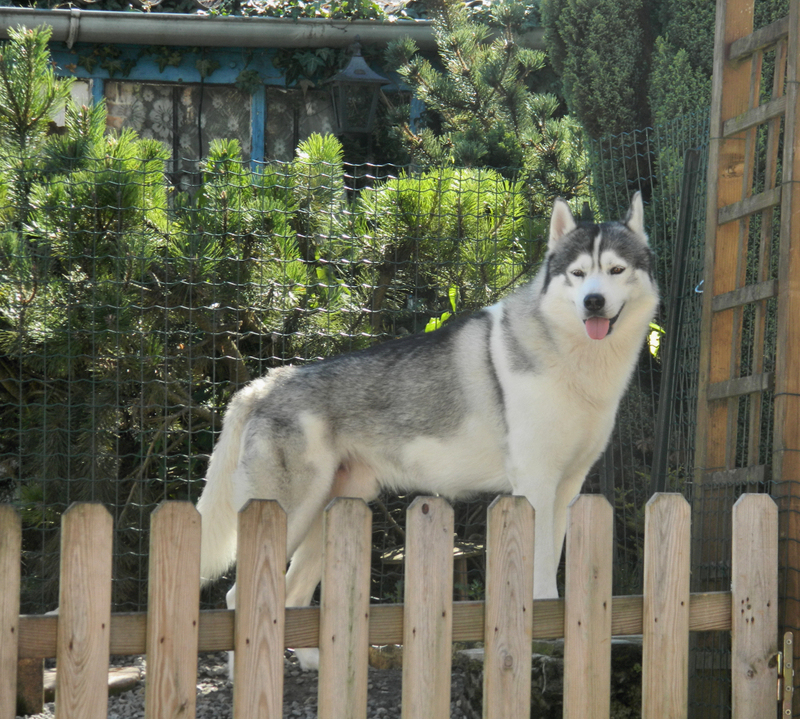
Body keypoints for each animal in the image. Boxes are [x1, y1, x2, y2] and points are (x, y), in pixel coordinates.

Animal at [198, 193, 656, 668]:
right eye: (578, 274)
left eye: (616, 270)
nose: (594, 302)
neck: (578, 361)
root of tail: (262, 385)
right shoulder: (535, 483)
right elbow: (542, 572)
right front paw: (545, 635)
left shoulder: (567, 487)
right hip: (290, 512)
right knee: (236, 597)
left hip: (331, 513)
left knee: (294, 595)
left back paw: (313, 664)